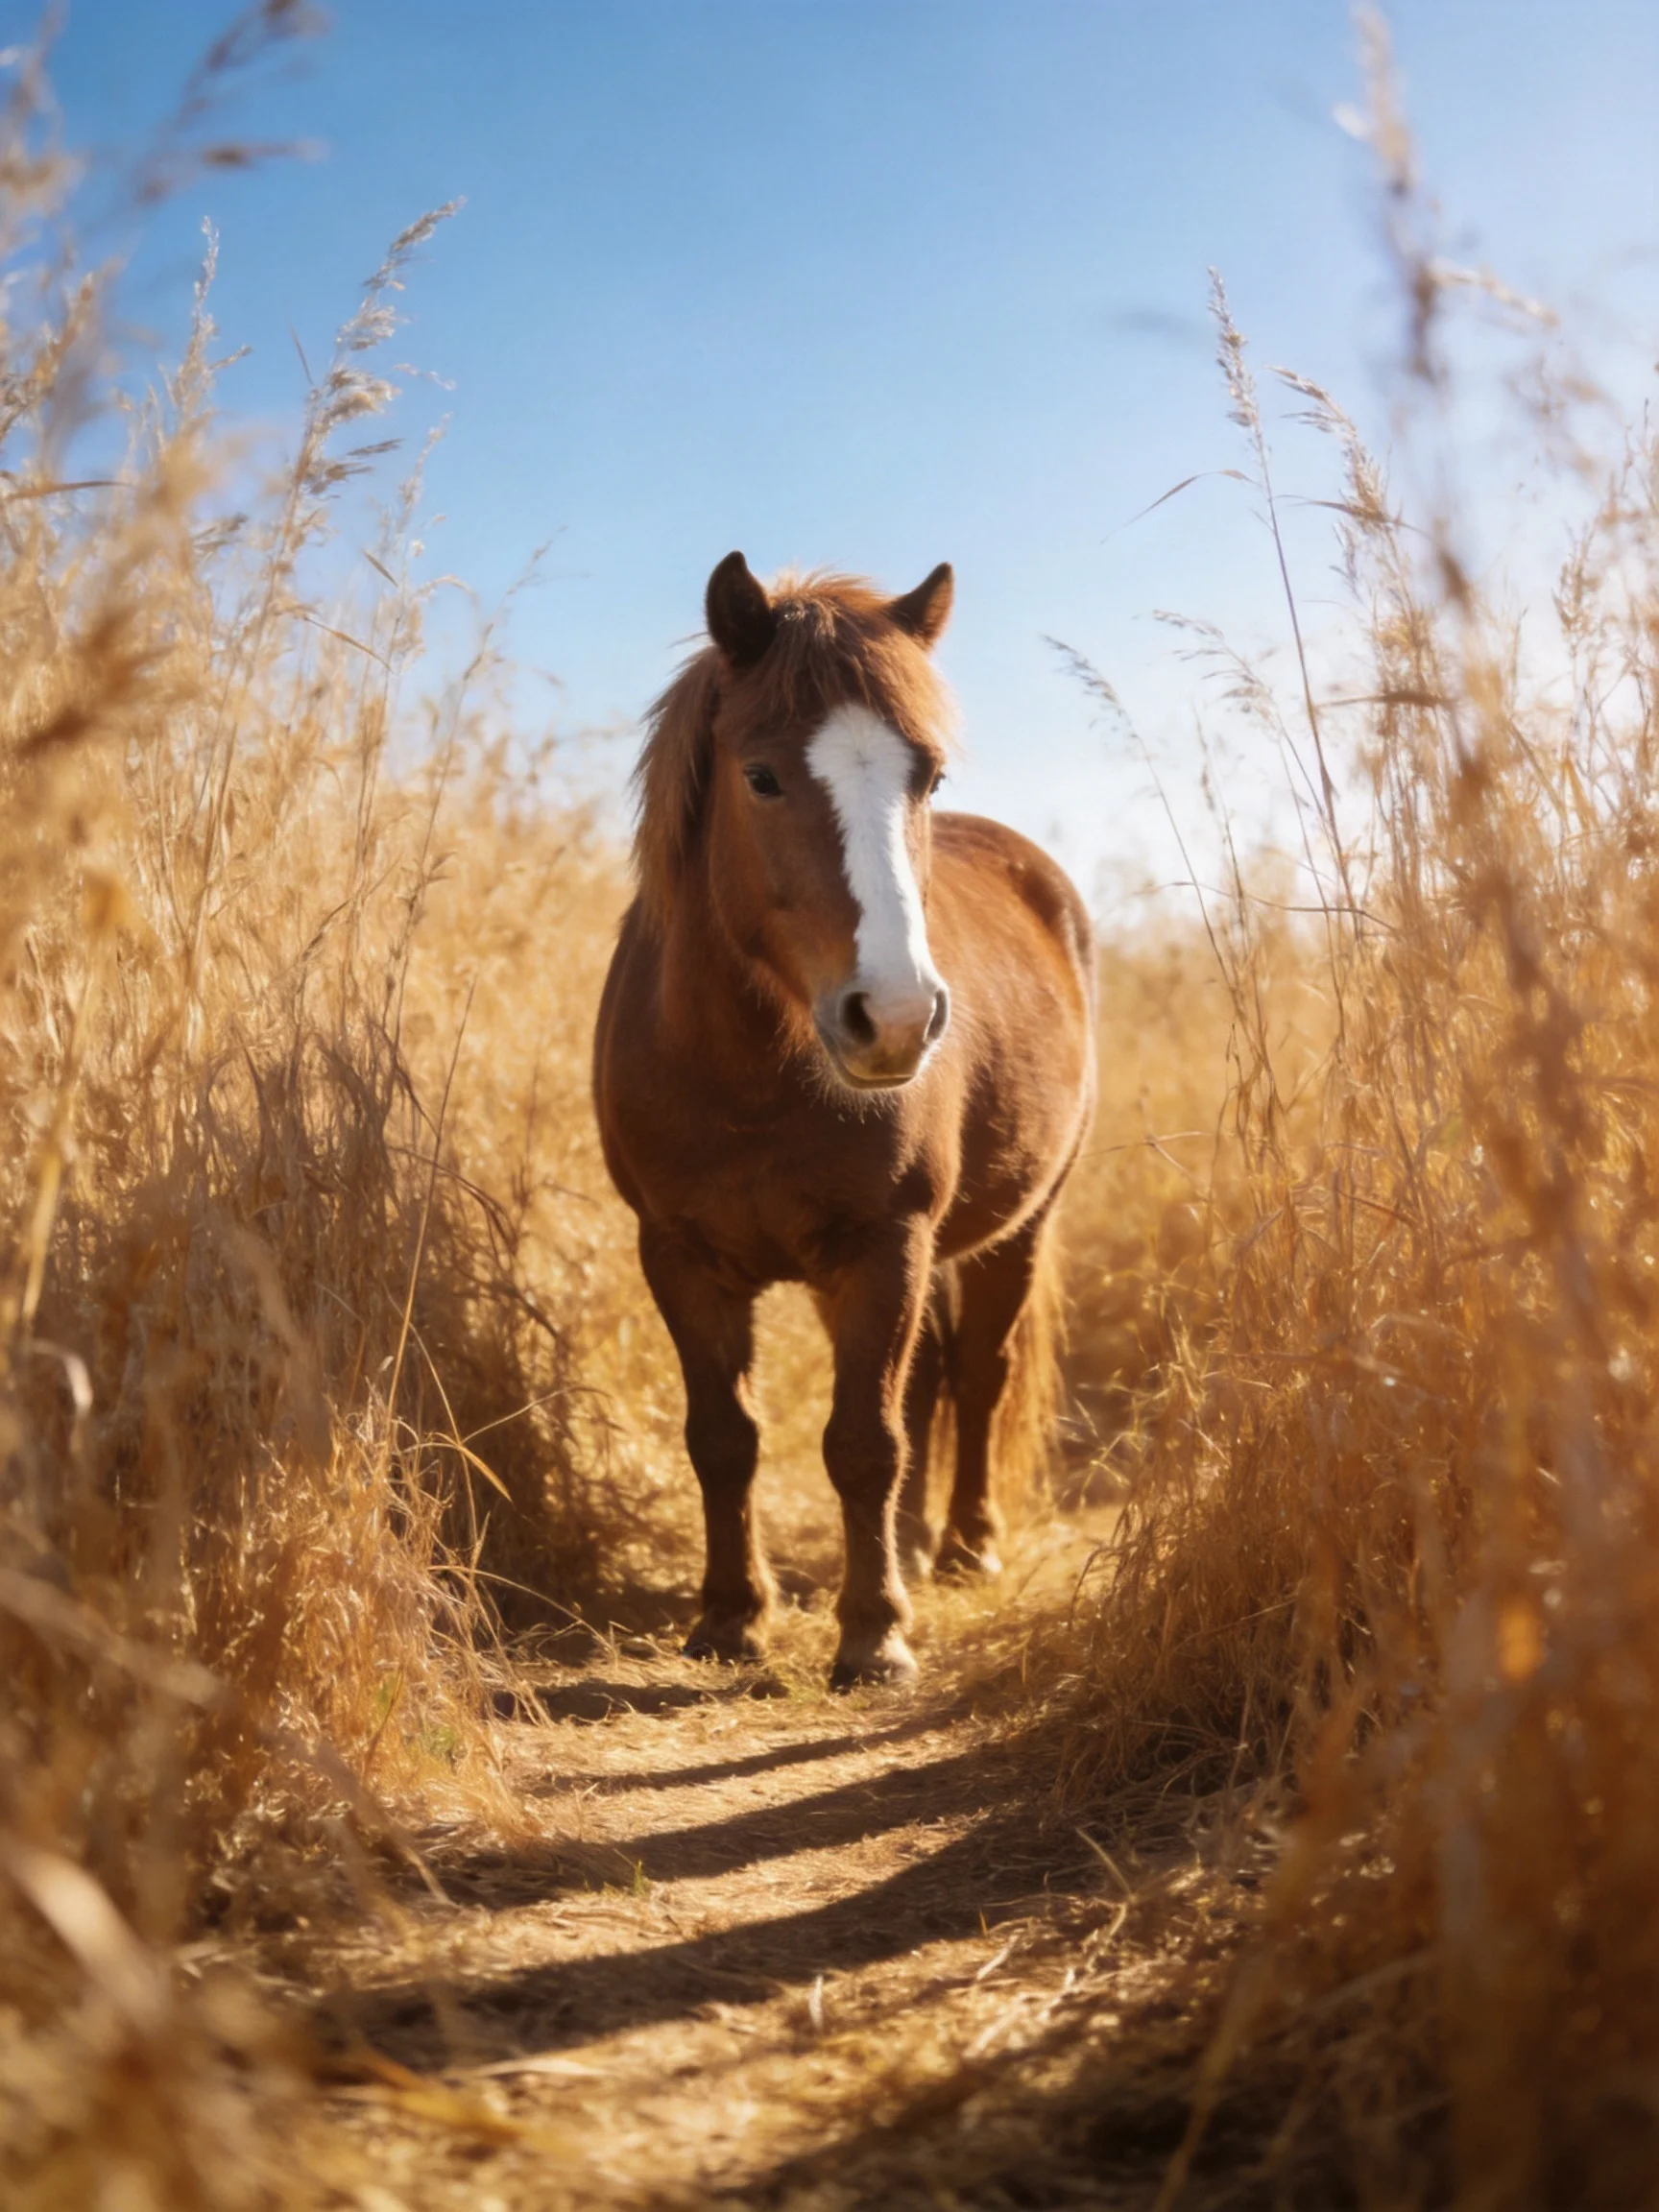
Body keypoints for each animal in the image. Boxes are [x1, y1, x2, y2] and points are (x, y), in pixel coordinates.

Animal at [593, 553, 1096, 1687]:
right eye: (762, 776)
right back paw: (908, 1546)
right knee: (925, 1388)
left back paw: (963, 1549)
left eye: (929, 778)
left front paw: (873, 1636)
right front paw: (731, 1618)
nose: (897, 1017)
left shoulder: (884, 1244)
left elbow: (864, 1441)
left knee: (977, 1378)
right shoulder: (676, 1254)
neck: (747, 1075)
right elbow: (724, 1437)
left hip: (1018, 1230)